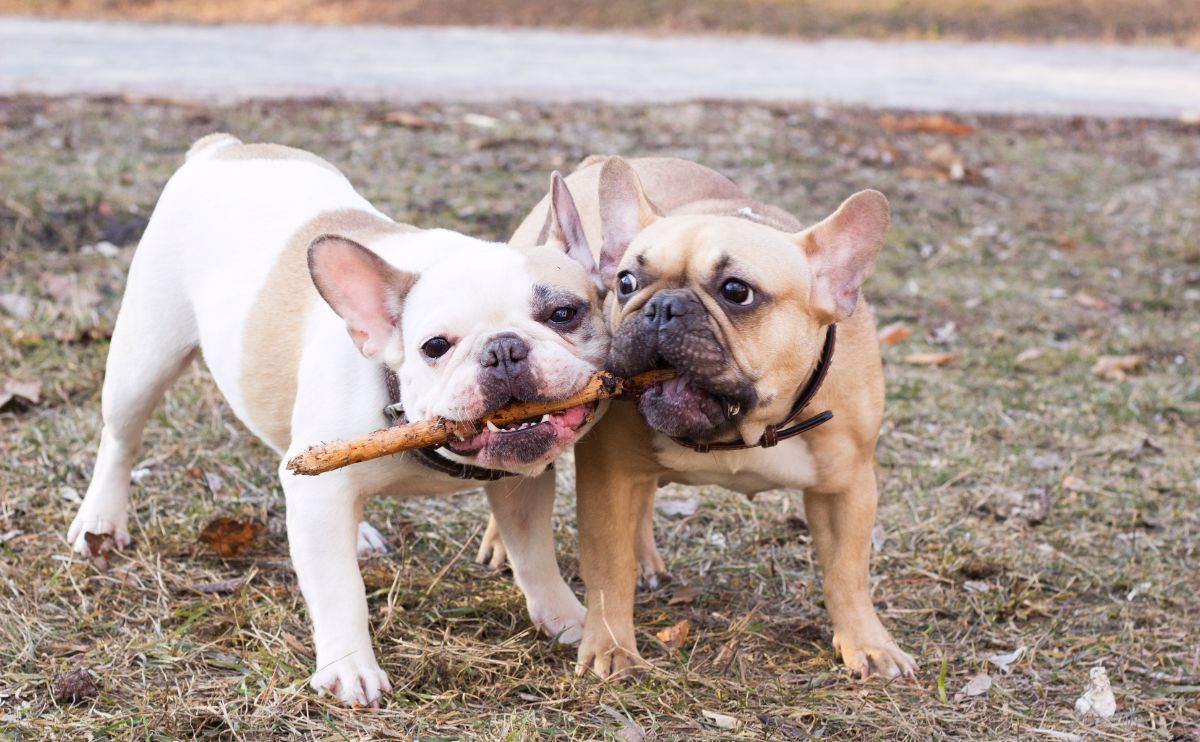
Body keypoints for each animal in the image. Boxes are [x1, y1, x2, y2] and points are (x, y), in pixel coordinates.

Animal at [69, 134, 604, 705]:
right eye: (435, 346)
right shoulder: (322, 492)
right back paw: (99, 521)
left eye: (564, 314)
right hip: (145, 355)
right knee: (121, 437)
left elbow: (534, 555)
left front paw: (570, 621)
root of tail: (221, 147)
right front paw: (350, 668)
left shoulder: (519, 483)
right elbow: (337, 587)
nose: (504, 349)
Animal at [501, 154, 912, 677]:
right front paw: (612, 647)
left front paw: (869, 644)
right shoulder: (607, 477)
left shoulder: (847, 487)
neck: (740, 431)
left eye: (737, 291)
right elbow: (609, 566)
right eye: (626, 283)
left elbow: (847, 573)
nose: (661, 307)